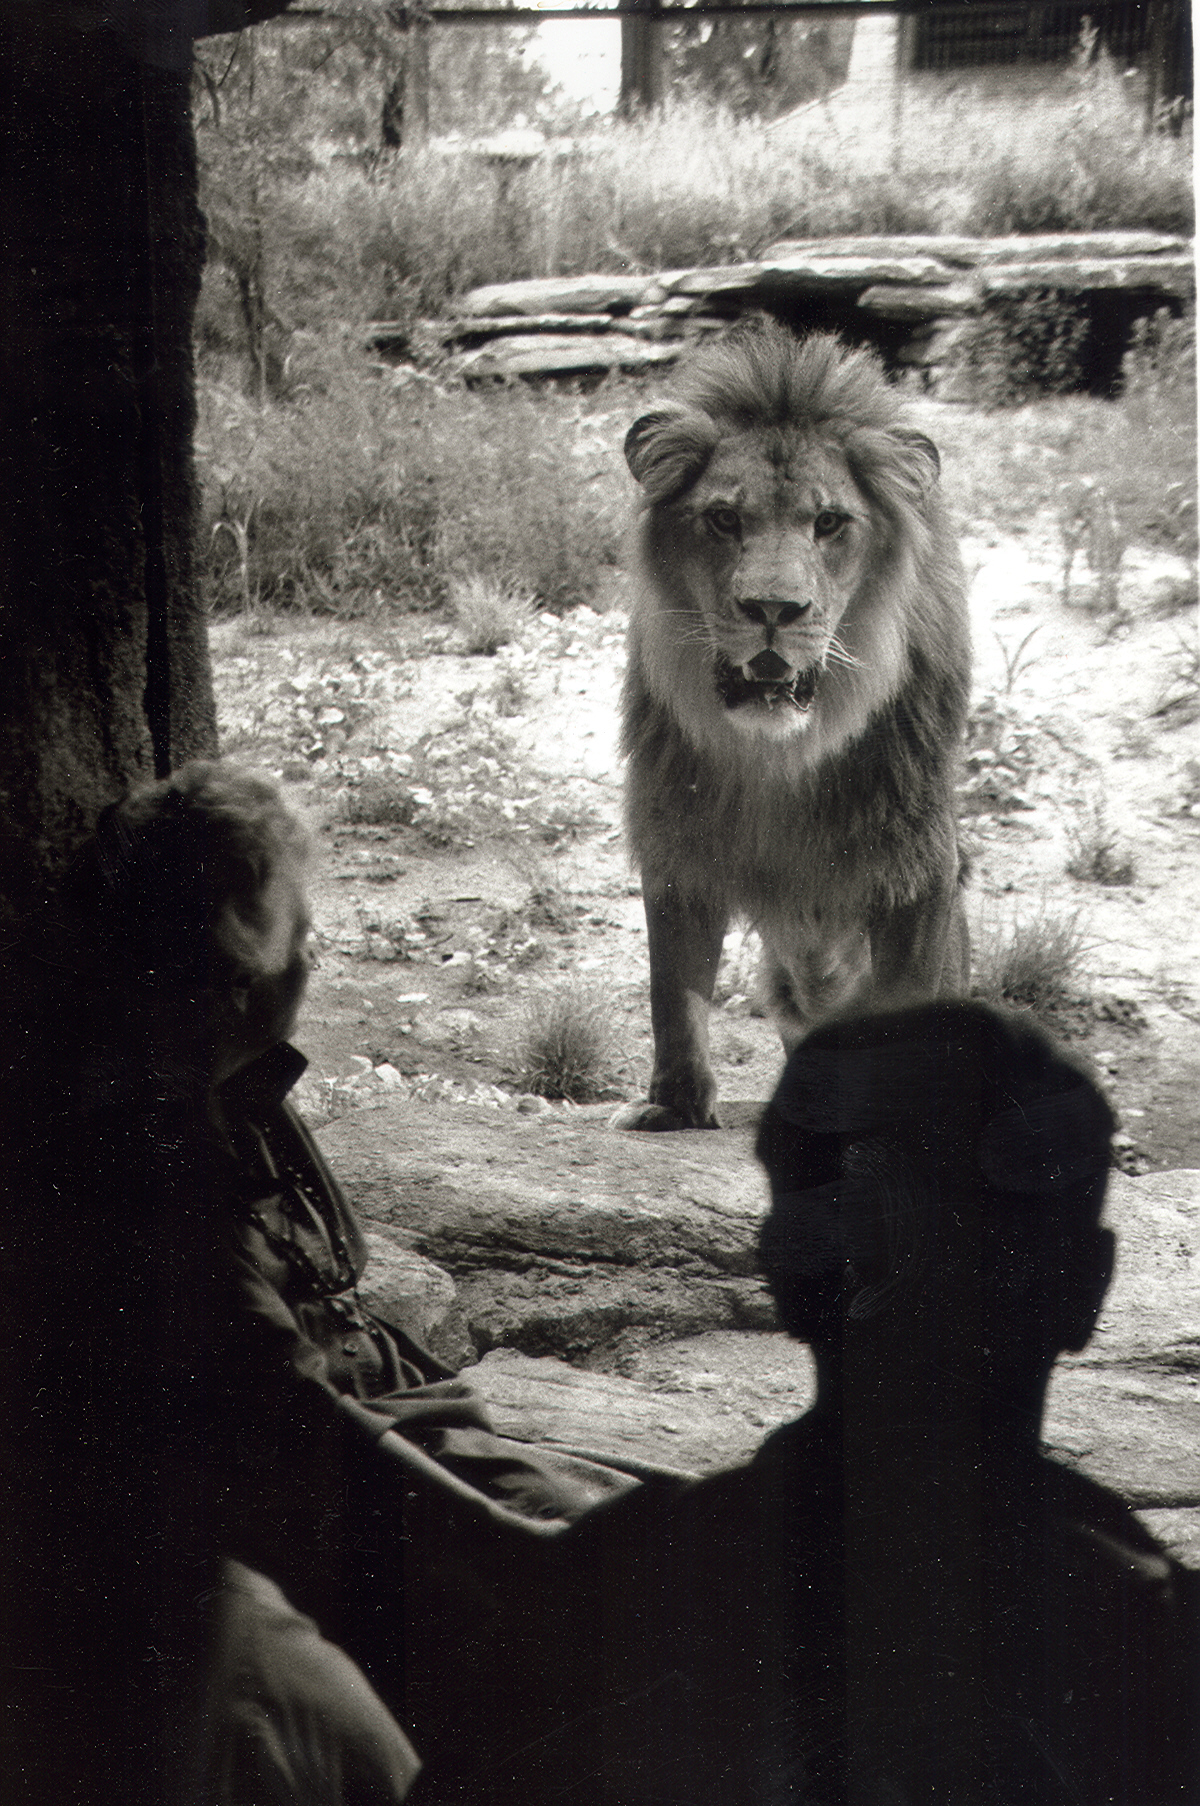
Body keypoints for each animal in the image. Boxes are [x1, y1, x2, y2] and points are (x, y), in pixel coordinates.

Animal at [614, 317, 968, 1119]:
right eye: (723, 518)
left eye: (829, 522)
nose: (773, 609)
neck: (782, 751)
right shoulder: (677, 836)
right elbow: (673, 989)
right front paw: (674, 1106)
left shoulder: (918, 862)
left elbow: (906, 999)